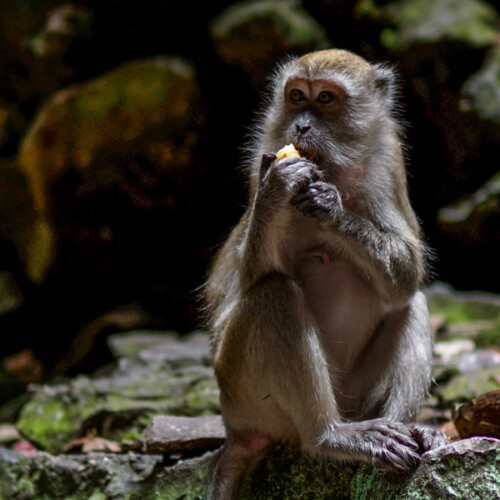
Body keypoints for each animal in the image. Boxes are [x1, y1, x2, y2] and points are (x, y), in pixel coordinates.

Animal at [205, 48, 448, 498]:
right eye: (297, 96)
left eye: (326, 99)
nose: (301, 124)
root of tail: (236, 428)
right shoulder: (261, 158)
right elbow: (250, 277)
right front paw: (276, 189)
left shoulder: (388, 164)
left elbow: (407, 275)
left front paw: (332, 210)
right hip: (244, 392)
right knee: (275, 294)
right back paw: (331, 436)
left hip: (355, 399)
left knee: (412, 304)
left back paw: (407, 430)